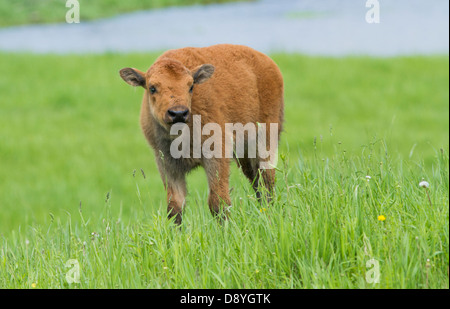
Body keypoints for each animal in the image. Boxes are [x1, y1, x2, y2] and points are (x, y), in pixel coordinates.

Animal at [118, 43, 284, 224]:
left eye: (191, 86)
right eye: (152, 88)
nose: (178, 113)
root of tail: (269, 63)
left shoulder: (216, 154)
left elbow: (218, 201)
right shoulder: (166, 163)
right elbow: (175, 207)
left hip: (265, 142)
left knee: (267, 181)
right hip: (244, 153)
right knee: (256, 181)